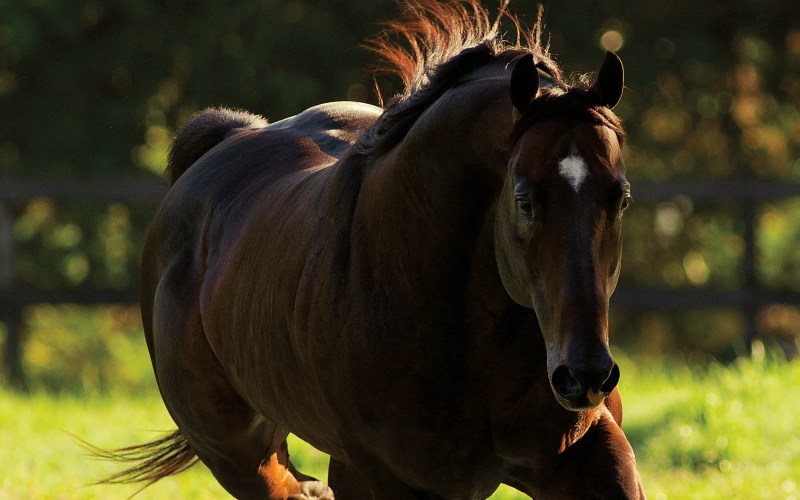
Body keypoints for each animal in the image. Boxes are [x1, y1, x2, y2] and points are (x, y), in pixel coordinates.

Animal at [107, 1, 645, 498]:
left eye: (620, 197)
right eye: (525, 200)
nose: (585, 375)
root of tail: (232, 134)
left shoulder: (586, 454)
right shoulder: (382, 477)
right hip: (242, 457)